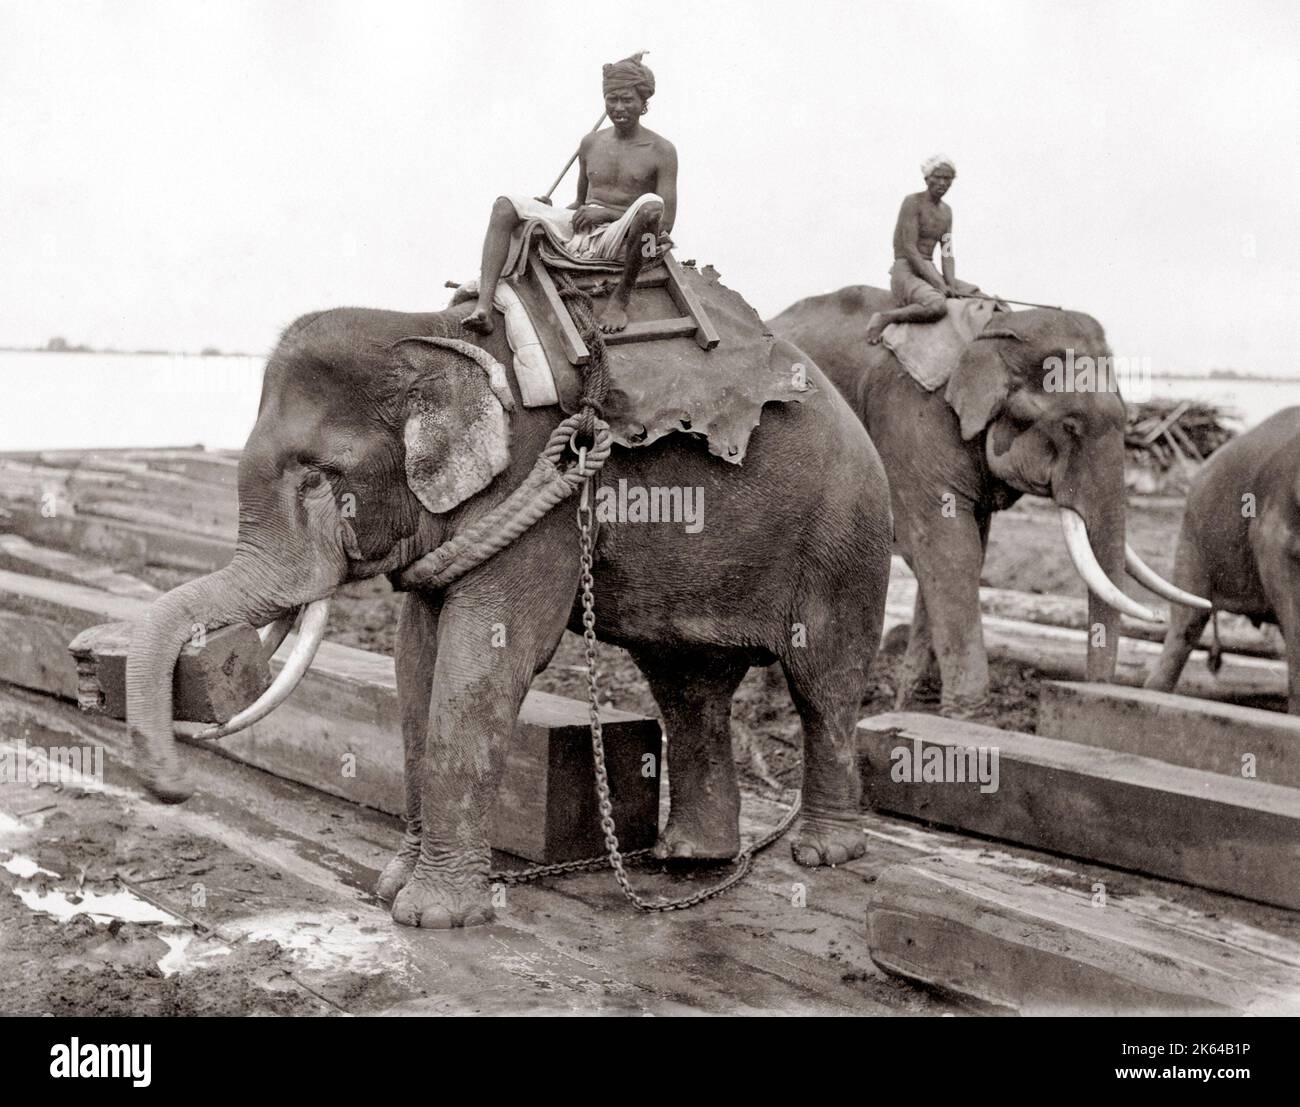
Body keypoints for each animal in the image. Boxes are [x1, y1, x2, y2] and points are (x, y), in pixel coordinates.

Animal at [124, 300, 894, 925]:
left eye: (318, 478)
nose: (175, 788)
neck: (428, 329)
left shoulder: (541, 491)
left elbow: (486, 658)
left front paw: (432, 916)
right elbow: (416, 657)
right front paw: (393, 884)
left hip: (846, 540)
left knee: (823, 682)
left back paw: (821, 854)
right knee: (688, 684)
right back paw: (688, 859)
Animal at [764, 287, 1211, 717]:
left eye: (1126, 418)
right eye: (1070, 426)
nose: (1095, 698)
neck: (996, 330)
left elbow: (961, 552)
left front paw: (920, 706)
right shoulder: (910, 420)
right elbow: (949, 550)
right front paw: (969, 717)